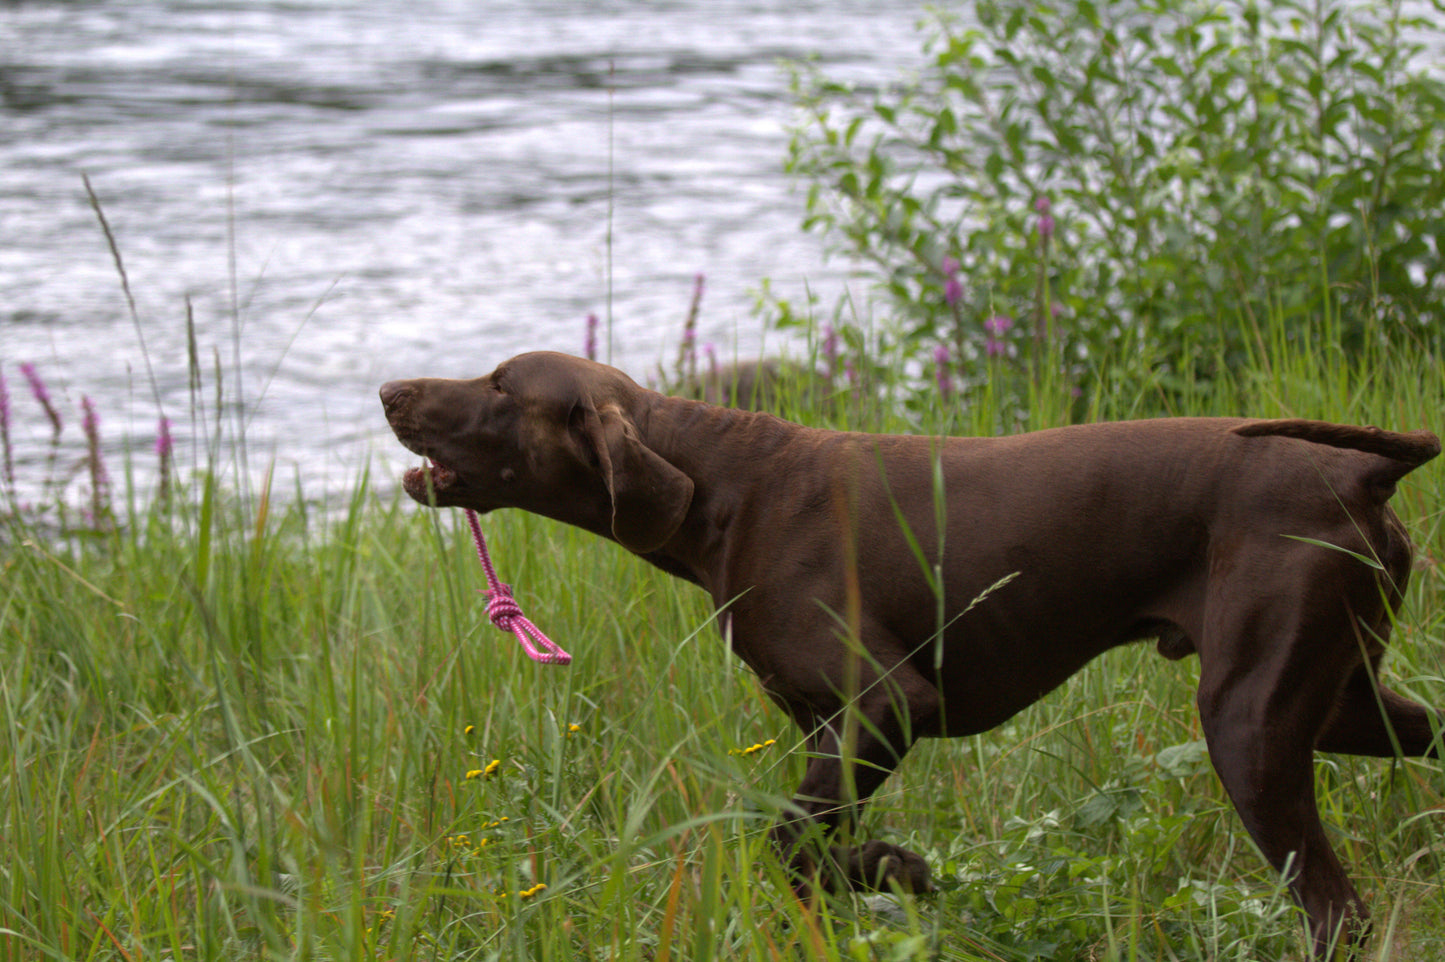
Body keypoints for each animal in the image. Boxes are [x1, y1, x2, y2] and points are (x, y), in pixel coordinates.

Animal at [378, 351, 1439, 953]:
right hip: (1341, 701)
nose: (388, 387)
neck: (723, 485)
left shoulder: (884, 706)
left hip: (1249, 722)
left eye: (500, 387)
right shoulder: (830, 729)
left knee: (1335, 910)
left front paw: (897, 870)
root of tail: (1363, 473)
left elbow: (789, 844)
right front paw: (891, 872)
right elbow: (805, 846)